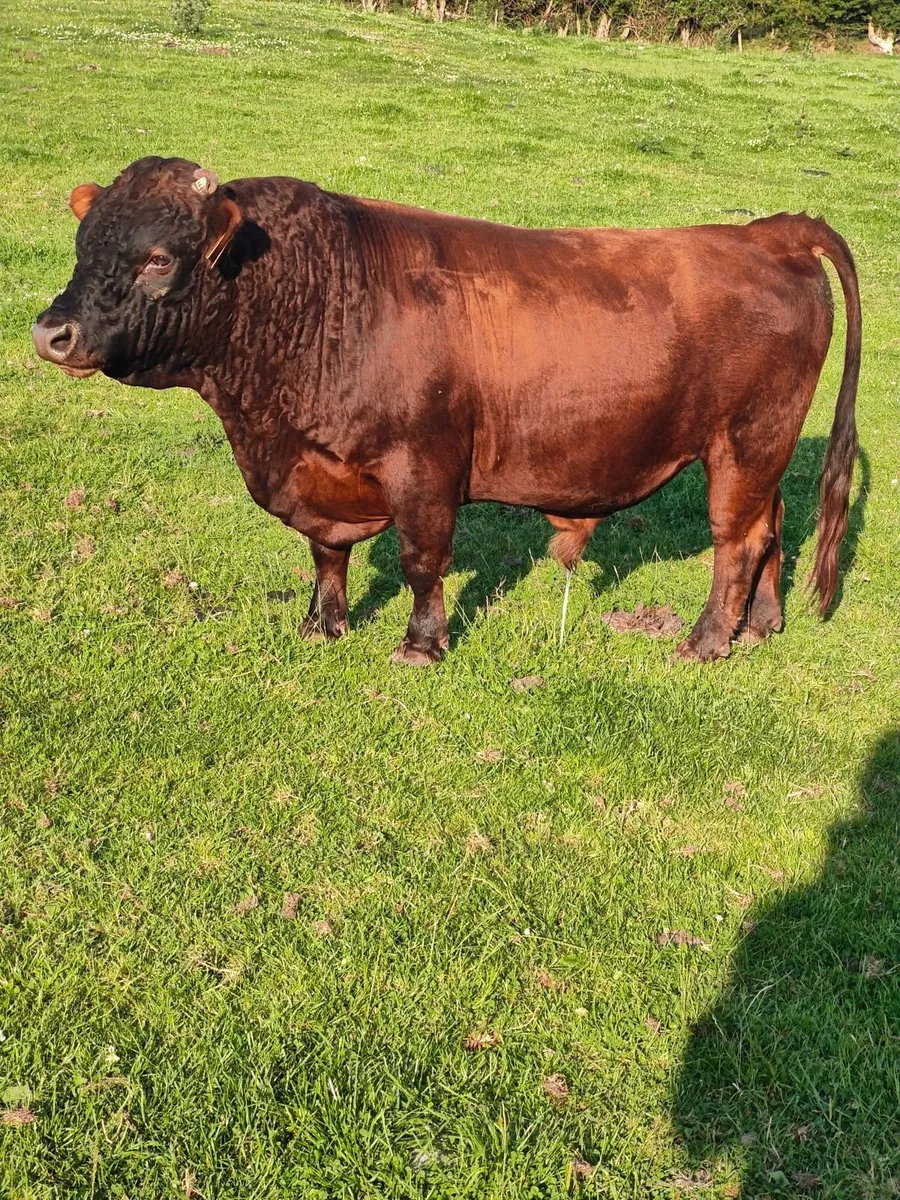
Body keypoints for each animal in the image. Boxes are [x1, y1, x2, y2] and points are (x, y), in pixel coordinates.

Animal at [32, 157, 860, 665]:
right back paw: (760, 627)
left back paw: (706, 639)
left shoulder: (423, 467)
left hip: (744, 444)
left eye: (158, 258)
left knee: (736, 541)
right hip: (761, 451)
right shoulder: (317, 471)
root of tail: (767, 232)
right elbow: (326, 553)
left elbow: (421, 560)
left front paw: (419, 645)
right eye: (83, 243)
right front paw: (320, 626)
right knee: (771, 526)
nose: (51, 332)